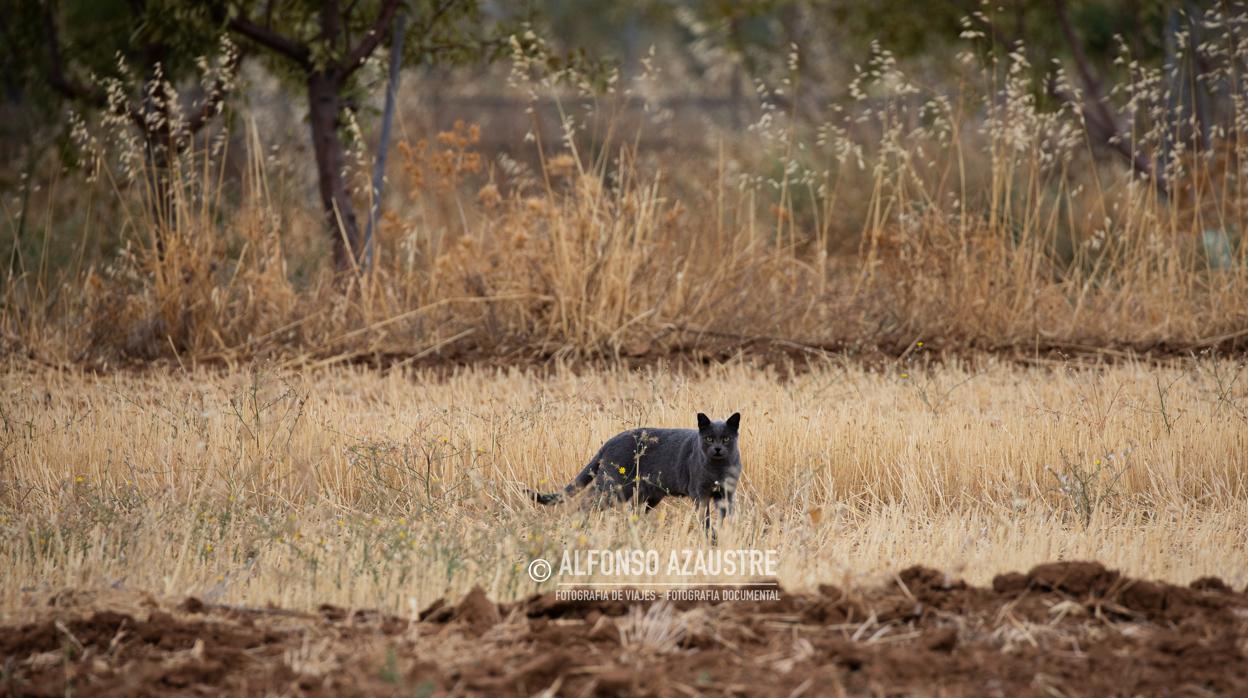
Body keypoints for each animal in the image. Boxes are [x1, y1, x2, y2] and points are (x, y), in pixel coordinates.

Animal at [526, 412, 738, 531]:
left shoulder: (726, 494)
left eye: (726, 439)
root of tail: (610, 441)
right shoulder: (700, 493)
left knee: (634, 512)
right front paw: (710, 538)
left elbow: (726, 516)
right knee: (586, 502)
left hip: (646, 494)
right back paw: (581, 527)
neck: (718, 467)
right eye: (709, 438)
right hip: (614, 487)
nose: (717, 449)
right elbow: (706, 518)